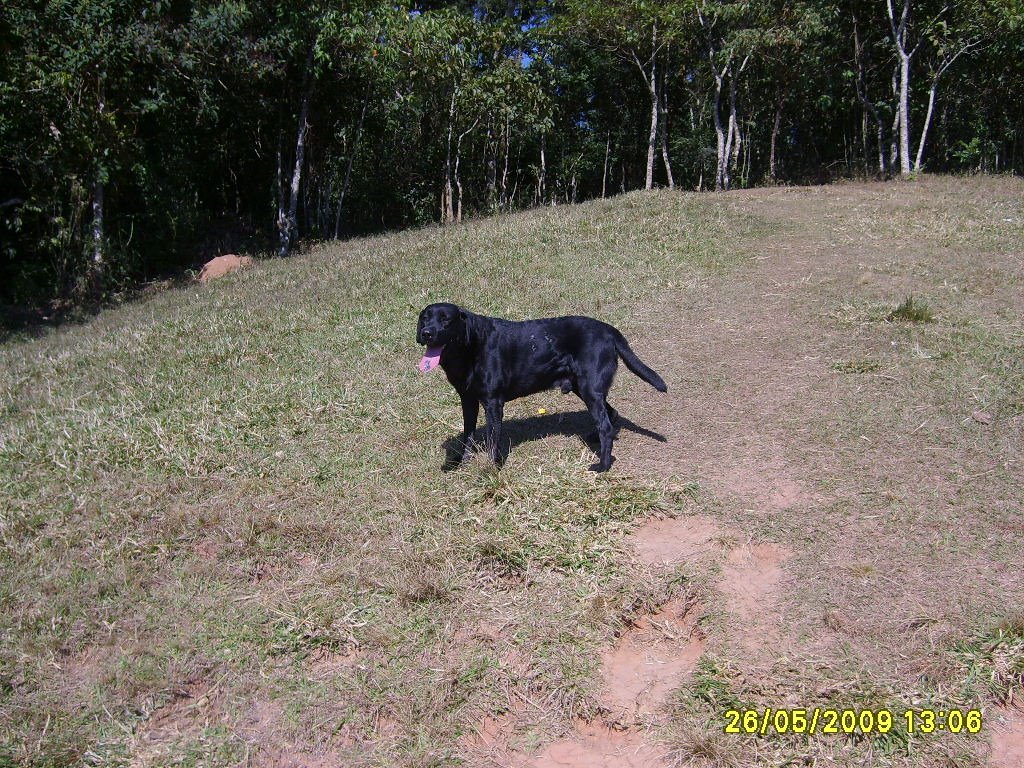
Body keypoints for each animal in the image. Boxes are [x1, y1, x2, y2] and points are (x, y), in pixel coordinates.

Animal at [415, 303, 663, 473]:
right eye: (425, 318)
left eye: (446, 320)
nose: (427, 333)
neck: (471, 345)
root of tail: (610, 330)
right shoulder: (468, 400)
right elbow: (468, 435)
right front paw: (461, 463)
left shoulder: (493, 403)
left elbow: (493, 441)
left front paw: (491, 470)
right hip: (583, 387)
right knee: (610, 415)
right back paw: (595, 438)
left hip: (589, 387)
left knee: (606, 426)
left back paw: (602, 465)